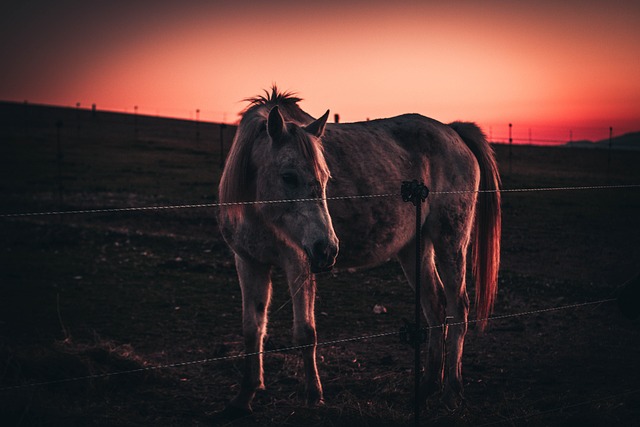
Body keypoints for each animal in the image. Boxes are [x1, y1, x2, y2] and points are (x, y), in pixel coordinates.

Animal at [218, 87, 502, 414]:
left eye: (326, 178)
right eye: (288, 176)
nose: (327, 249)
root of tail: (453, 130)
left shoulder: (299, 262)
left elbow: (305, 332)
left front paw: (313, 396)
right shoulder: (248, 262)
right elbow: (252, 329)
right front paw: (244, 396)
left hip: (450, 241)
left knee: (458, 307)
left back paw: (452, 391)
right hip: (414, 250)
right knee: (435, 307)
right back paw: (427, 388)